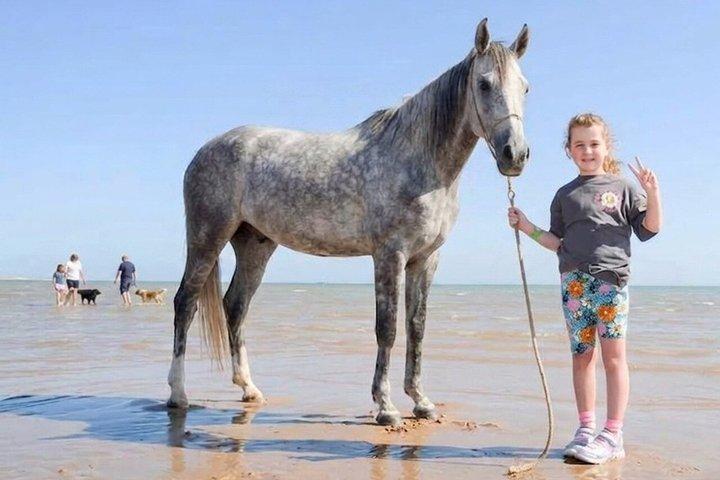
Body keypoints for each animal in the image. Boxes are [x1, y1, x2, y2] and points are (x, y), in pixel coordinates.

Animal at [168, 18, 531, 426]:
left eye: (525, 87)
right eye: (484, 84)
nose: (515, 155)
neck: (418, 159)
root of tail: (204, 150)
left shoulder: (425, 259)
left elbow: (417, 328)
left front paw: (420, 401)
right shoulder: (390, 255)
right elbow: (387, 328)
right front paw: (385, 407)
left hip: (254, 246)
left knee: (235, 306)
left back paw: (249, 389)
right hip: (207, 238)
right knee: (185, 303)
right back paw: (178, 394)